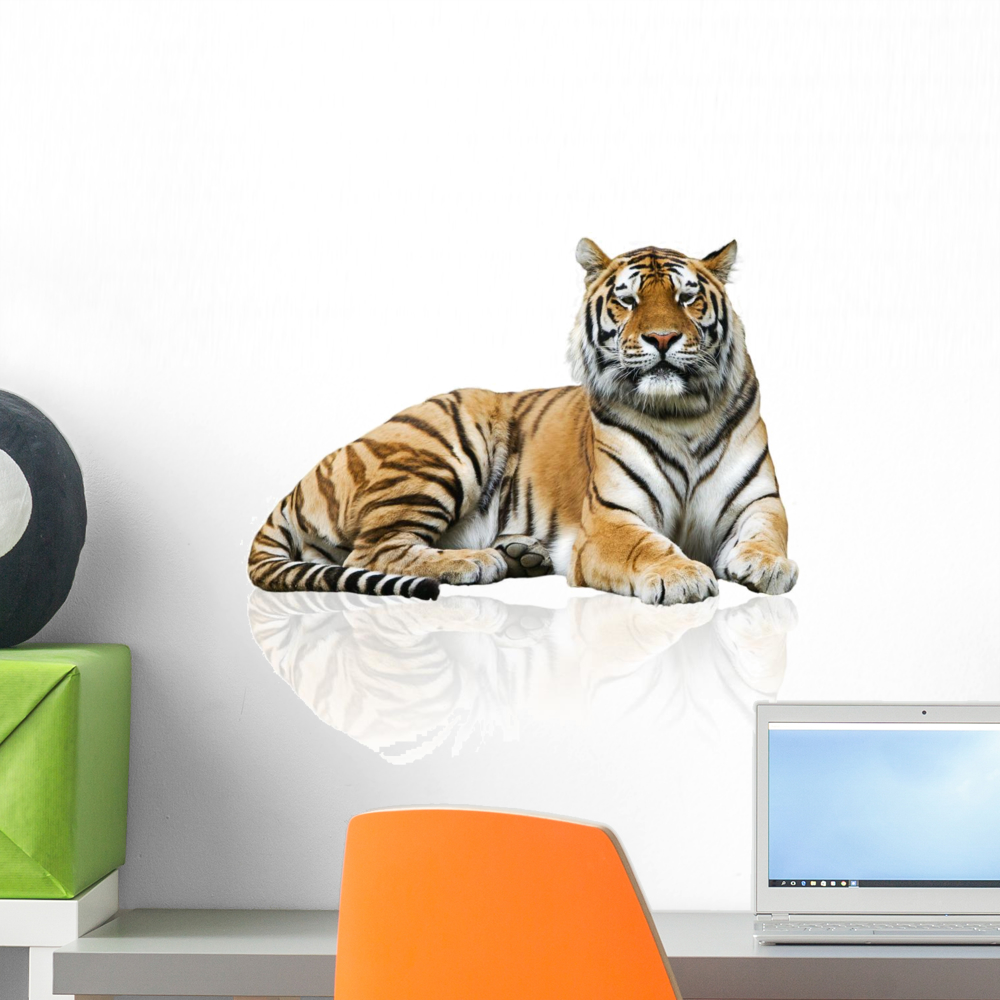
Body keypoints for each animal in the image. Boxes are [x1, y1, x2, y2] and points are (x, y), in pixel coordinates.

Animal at [248, 238, 798, 605]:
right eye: (628, 300)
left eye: (687, 298)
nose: (662, 338)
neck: (682, 415)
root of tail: (300, 484)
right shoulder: (612, 517)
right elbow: (646, 544)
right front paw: (682, 575)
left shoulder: (759, 500)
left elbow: (767, 533)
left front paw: (768, 566)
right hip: (444, 451)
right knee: (370, 551)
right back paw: (477, 561)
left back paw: (522, 555)